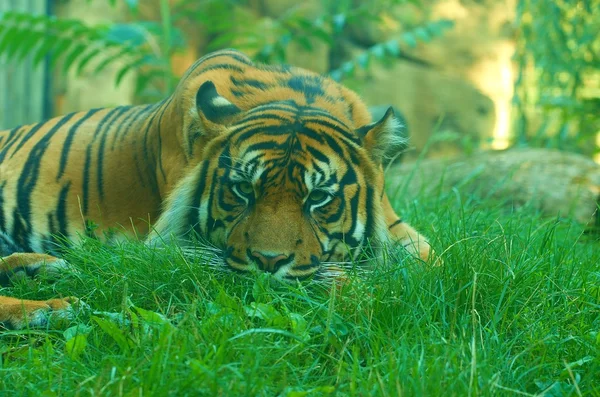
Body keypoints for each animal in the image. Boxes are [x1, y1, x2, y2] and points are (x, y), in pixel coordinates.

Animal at [0, 48, 434, 328]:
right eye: (243, 190)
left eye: (318, 198)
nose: (268, 263)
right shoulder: (168, 249)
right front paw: (363, 290)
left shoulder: (396, 226)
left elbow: (431, 263)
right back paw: (48, 308)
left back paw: (42, 269)